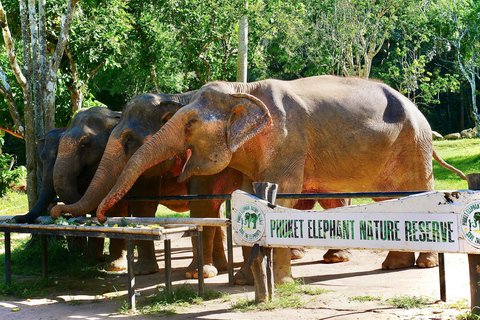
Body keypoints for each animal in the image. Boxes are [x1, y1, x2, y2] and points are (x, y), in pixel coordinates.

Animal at [50, 92, 244, 278]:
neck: (171, 98)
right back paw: (221, 267)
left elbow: (199, 202)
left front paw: (195, 274)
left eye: (85, 144)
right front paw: (131, 270)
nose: (56, 211)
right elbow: (140, 204)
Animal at [92, 75, 466, 284]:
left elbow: (280, 195)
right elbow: (244, 196)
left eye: (191, 124)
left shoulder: (287, 139)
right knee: (389, 201)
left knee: (416, 195)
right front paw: (243, 280)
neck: (243, 89)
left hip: (414, 146)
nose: (101, 216)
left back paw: (419, 265)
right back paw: (389, 265)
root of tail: (419, 111)